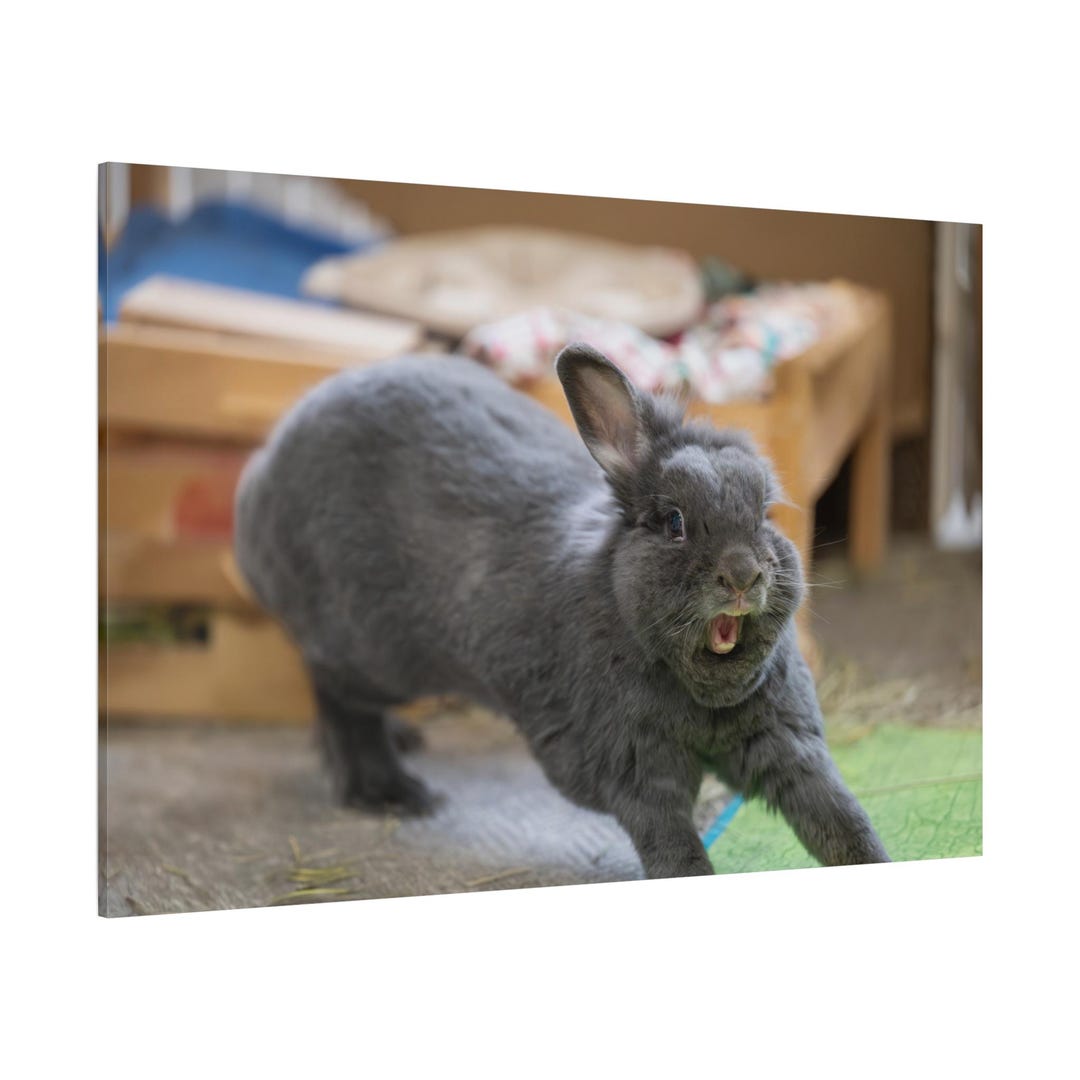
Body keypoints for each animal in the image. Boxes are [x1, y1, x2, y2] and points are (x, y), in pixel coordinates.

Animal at [234, 344, 889, 878]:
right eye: (674, 522)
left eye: (765, 512)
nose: (744, 576)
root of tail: (259, 480)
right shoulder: (636, 773)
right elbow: (675, 850)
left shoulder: (787, 746)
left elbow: (838, 818)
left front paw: (877, 860)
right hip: (369, 651)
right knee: (335, 695)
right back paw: (390, 790)